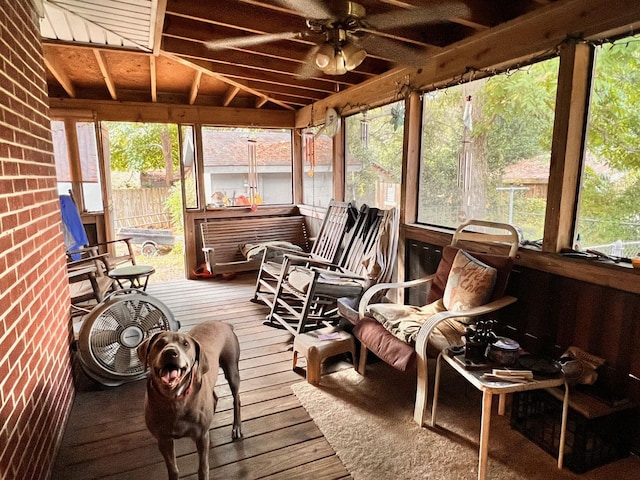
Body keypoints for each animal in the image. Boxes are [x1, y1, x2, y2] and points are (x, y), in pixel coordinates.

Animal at [138, 320, 242, 480]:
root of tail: (224, 323)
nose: (170, 352)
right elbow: (172, 469)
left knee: (236, 399)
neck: (174, 399)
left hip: (232, 369)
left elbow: (203, 468)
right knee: (214, 397)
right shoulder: (163, 440)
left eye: (185, 344)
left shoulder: (201, 437)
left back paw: (236, 428)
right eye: (159, 343)